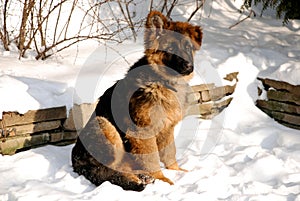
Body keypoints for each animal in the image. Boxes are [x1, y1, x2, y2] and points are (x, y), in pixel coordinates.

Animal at [72, 11, 203, 192]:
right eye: (170, 49)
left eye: (188, 48)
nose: (189, 67)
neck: (162, 82)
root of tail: (77, 164)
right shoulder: (143, 133)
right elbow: (152, 159)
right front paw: (164, 180)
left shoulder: (167, 128)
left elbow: (170, 152)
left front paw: (177, 171)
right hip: (105, 126)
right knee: (109, 170)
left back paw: (142, 177)